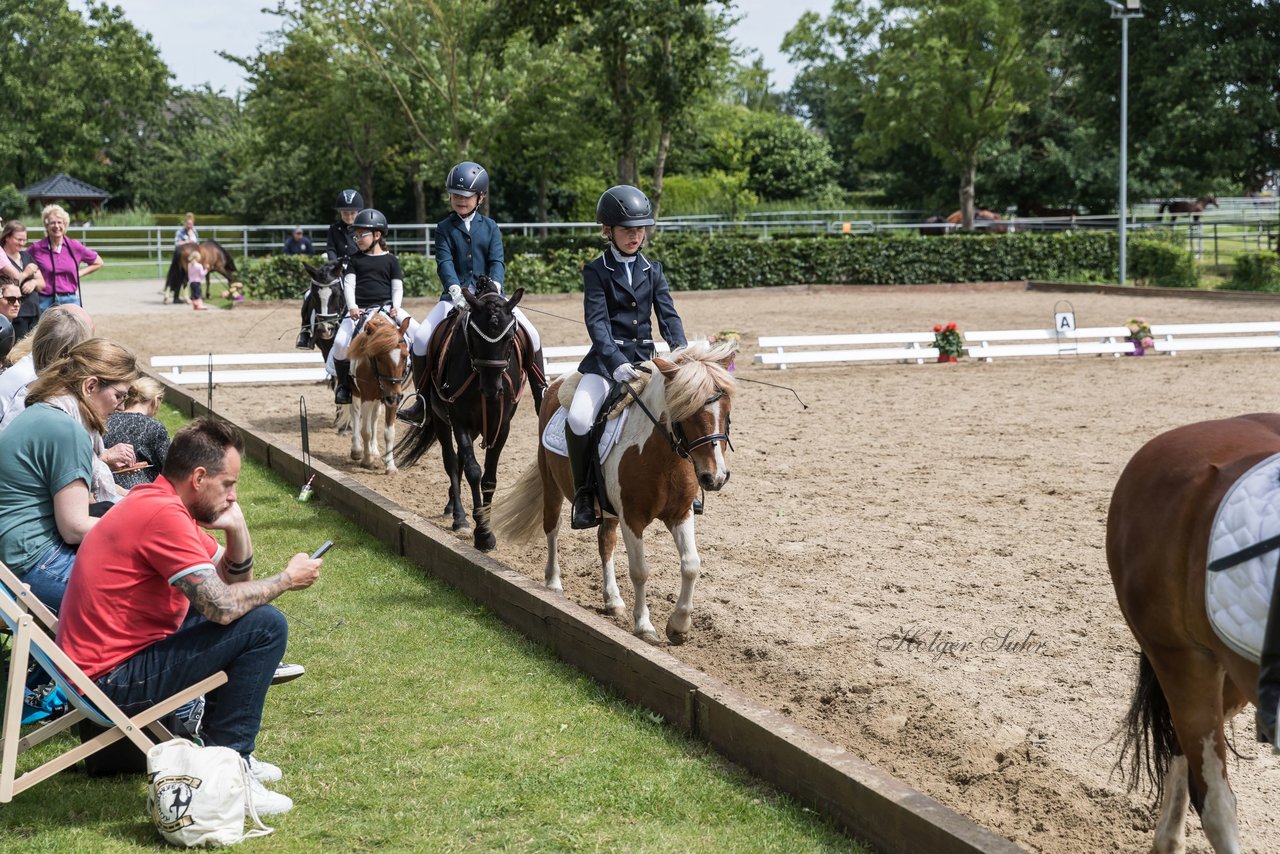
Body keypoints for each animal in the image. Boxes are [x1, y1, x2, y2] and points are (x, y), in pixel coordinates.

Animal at [340, 311, 409, 473]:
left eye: (405, 356)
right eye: (380, 358)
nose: (394, 397)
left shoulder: (391, 398)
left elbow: (389, 432)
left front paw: (390, 466)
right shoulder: (367, 397)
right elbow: (365, 431)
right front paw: (367, 461)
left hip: (380, 398)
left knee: (374, 417)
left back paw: (374, 450)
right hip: (356, 394)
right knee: (355, 414)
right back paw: (357, 450)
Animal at [394, 277, 535, 550]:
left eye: (509, 337)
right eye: (474, 336)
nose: (491, 390)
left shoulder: (501, 426)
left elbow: (489, 478)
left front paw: (486, 527)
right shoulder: (459, 421)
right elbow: (473, 470)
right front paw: (482, 533)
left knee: (458, 460)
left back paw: (452, 506)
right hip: (441, 419)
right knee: (451, 460)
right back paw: (458, 515)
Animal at [491, 340, 737, 647]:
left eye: (727, 410)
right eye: (687, 411)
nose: (715, 478)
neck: (661, 456)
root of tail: (558, 382)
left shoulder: (680, 513)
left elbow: (691, 564)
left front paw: (679, 626)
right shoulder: (632, 517)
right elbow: (640, 571)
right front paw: (644, 626)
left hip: (607, 509)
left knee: (605, 542)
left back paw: (613, 600)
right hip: (552, 485)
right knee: (552, 528)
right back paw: (553, 584)